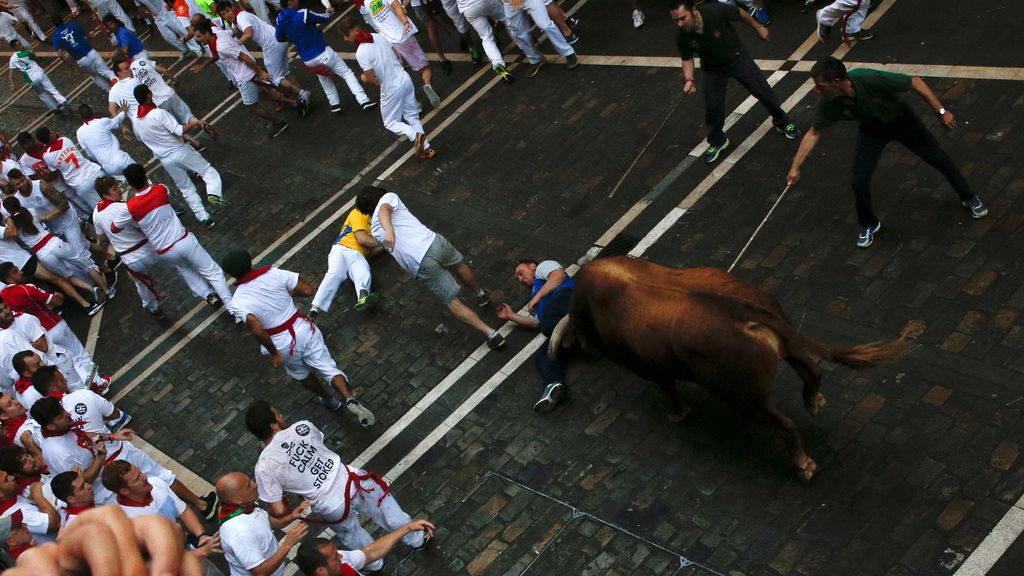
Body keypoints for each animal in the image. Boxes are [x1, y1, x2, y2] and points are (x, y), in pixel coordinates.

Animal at [548, 255, 909, 479]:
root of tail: (741, 309)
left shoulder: (652, 368)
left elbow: (669, 389)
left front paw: (678, 414)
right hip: (786, 346)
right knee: (811, 370)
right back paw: (814, 401)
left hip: (745, 396)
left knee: (785, 424)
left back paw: (803, 465)